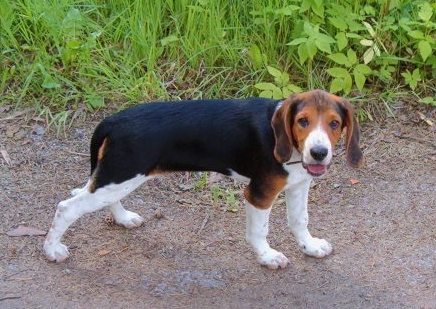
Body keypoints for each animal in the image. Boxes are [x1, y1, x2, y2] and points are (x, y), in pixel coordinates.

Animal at [44, 88, 364, 268]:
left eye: (335, 124)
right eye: (302, 121)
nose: (319, 152)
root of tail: (114, 120)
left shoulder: (298, 185)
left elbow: (299, 221)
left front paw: (310, 247)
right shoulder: (259, 194)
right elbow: (259, 231)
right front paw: (267, 256)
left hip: (119, 177)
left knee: (102, 198)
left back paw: (123, 218)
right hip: (119, 175)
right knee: (66, 208)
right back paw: (52, 250)